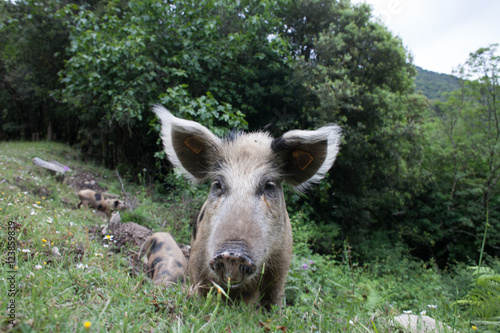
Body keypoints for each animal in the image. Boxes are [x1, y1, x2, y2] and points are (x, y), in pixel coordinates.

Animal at [150, 105, 342, 306]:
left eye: (269, 185)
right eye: (218, 184)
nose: (232, 254)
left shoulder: (281, 266)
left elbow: (273, 300)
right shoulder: (198, 261)